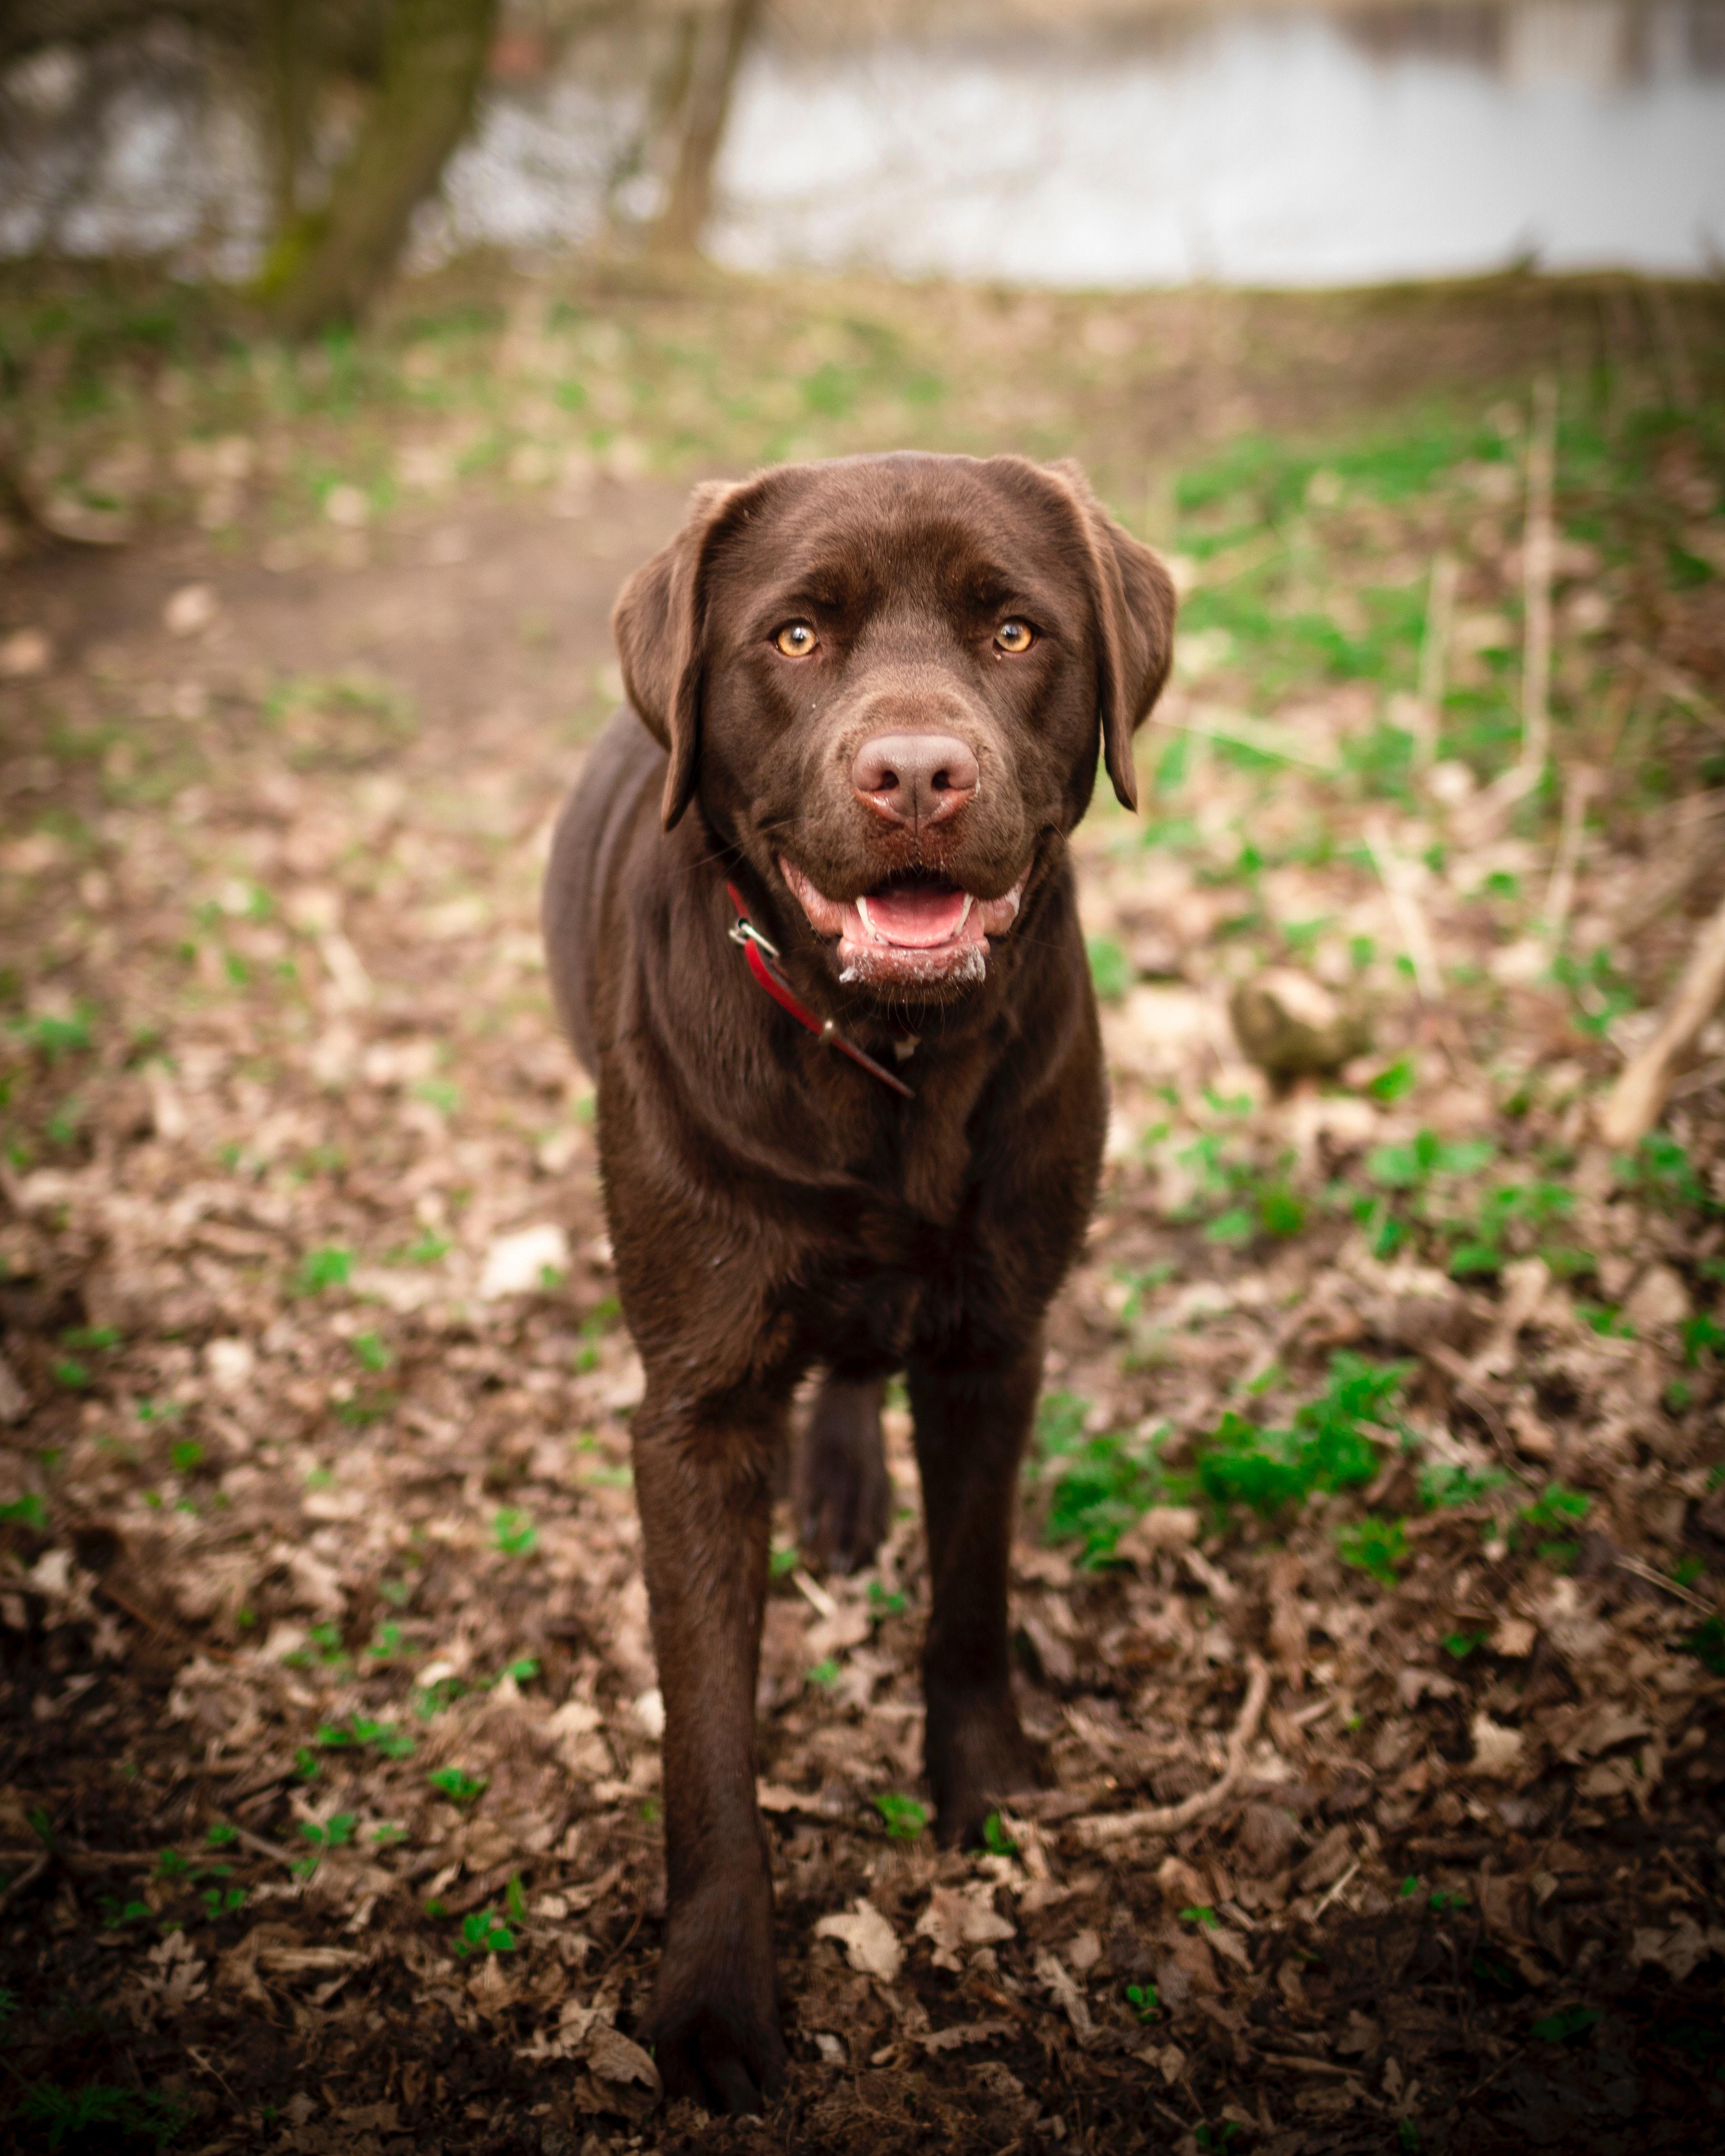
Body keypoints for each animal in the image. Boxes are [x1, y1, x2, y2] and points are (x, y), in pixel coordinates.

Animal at [545, 446, 1181, 2113]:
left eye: (1015, 633)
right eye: (794, 637)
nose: (914, 774)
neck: (887, 1054)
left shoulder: (994, 1340)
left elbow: (969, 1597)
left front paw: (989, 1792)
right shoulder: (695, 1409)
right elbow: (706, 1734)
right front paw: (713, 1999)